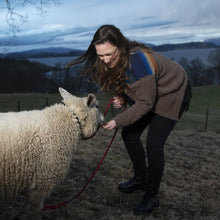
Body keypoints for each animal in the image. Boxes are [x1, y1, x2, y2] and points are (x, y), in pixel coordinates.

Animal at [0, 87, 104, 220]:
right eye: (97, 106)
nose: (104, 119)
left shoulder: (33, 185)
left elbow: (26, 206)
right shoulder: (42, 183)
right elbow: (36, 211)